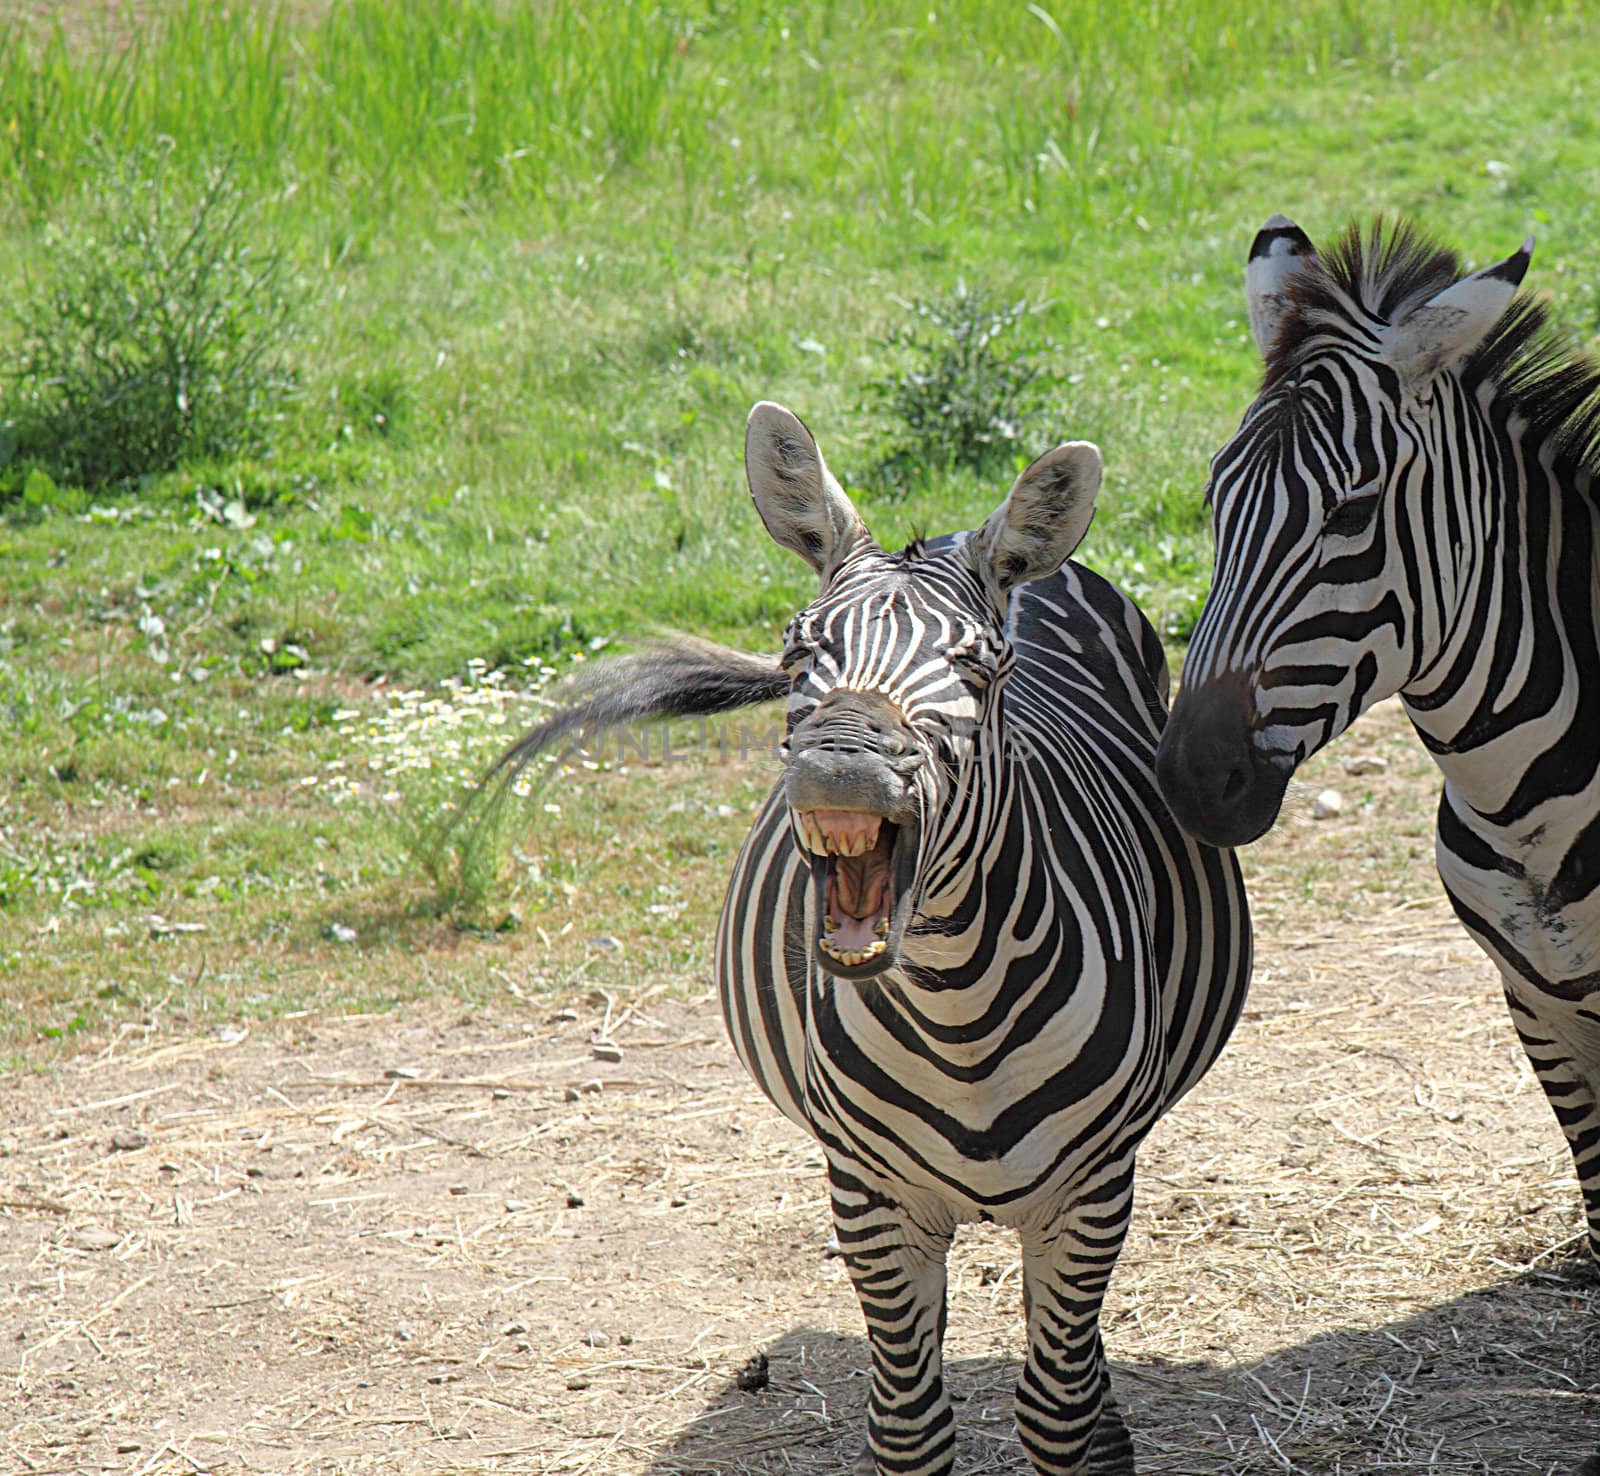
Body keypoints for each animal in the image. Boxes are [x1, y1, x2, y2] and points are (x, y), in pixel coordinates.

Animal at [499, 397, 1248, 1466]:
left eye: (978, 664)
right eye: (798, 653)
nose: (842, 763)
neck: (958, 1002)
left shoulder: (1092, 1191)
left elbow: (1054, 1411)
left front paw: (1089, 1430)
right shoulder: (868, 1196)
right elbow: (909, 1424)